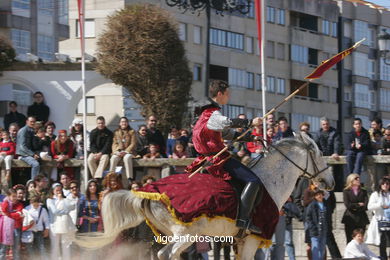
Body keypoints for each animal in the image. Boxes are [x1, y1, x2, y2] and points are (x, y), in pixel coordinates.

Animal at [77, 133, 334, 258]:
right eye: (318, 153)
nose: (330, 182)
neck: (271, 182)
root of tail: (145, 193)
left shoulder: (239, 241)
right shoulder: (252, 239)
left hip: (170, 235)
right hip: (184, 234)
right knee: (166, 254)